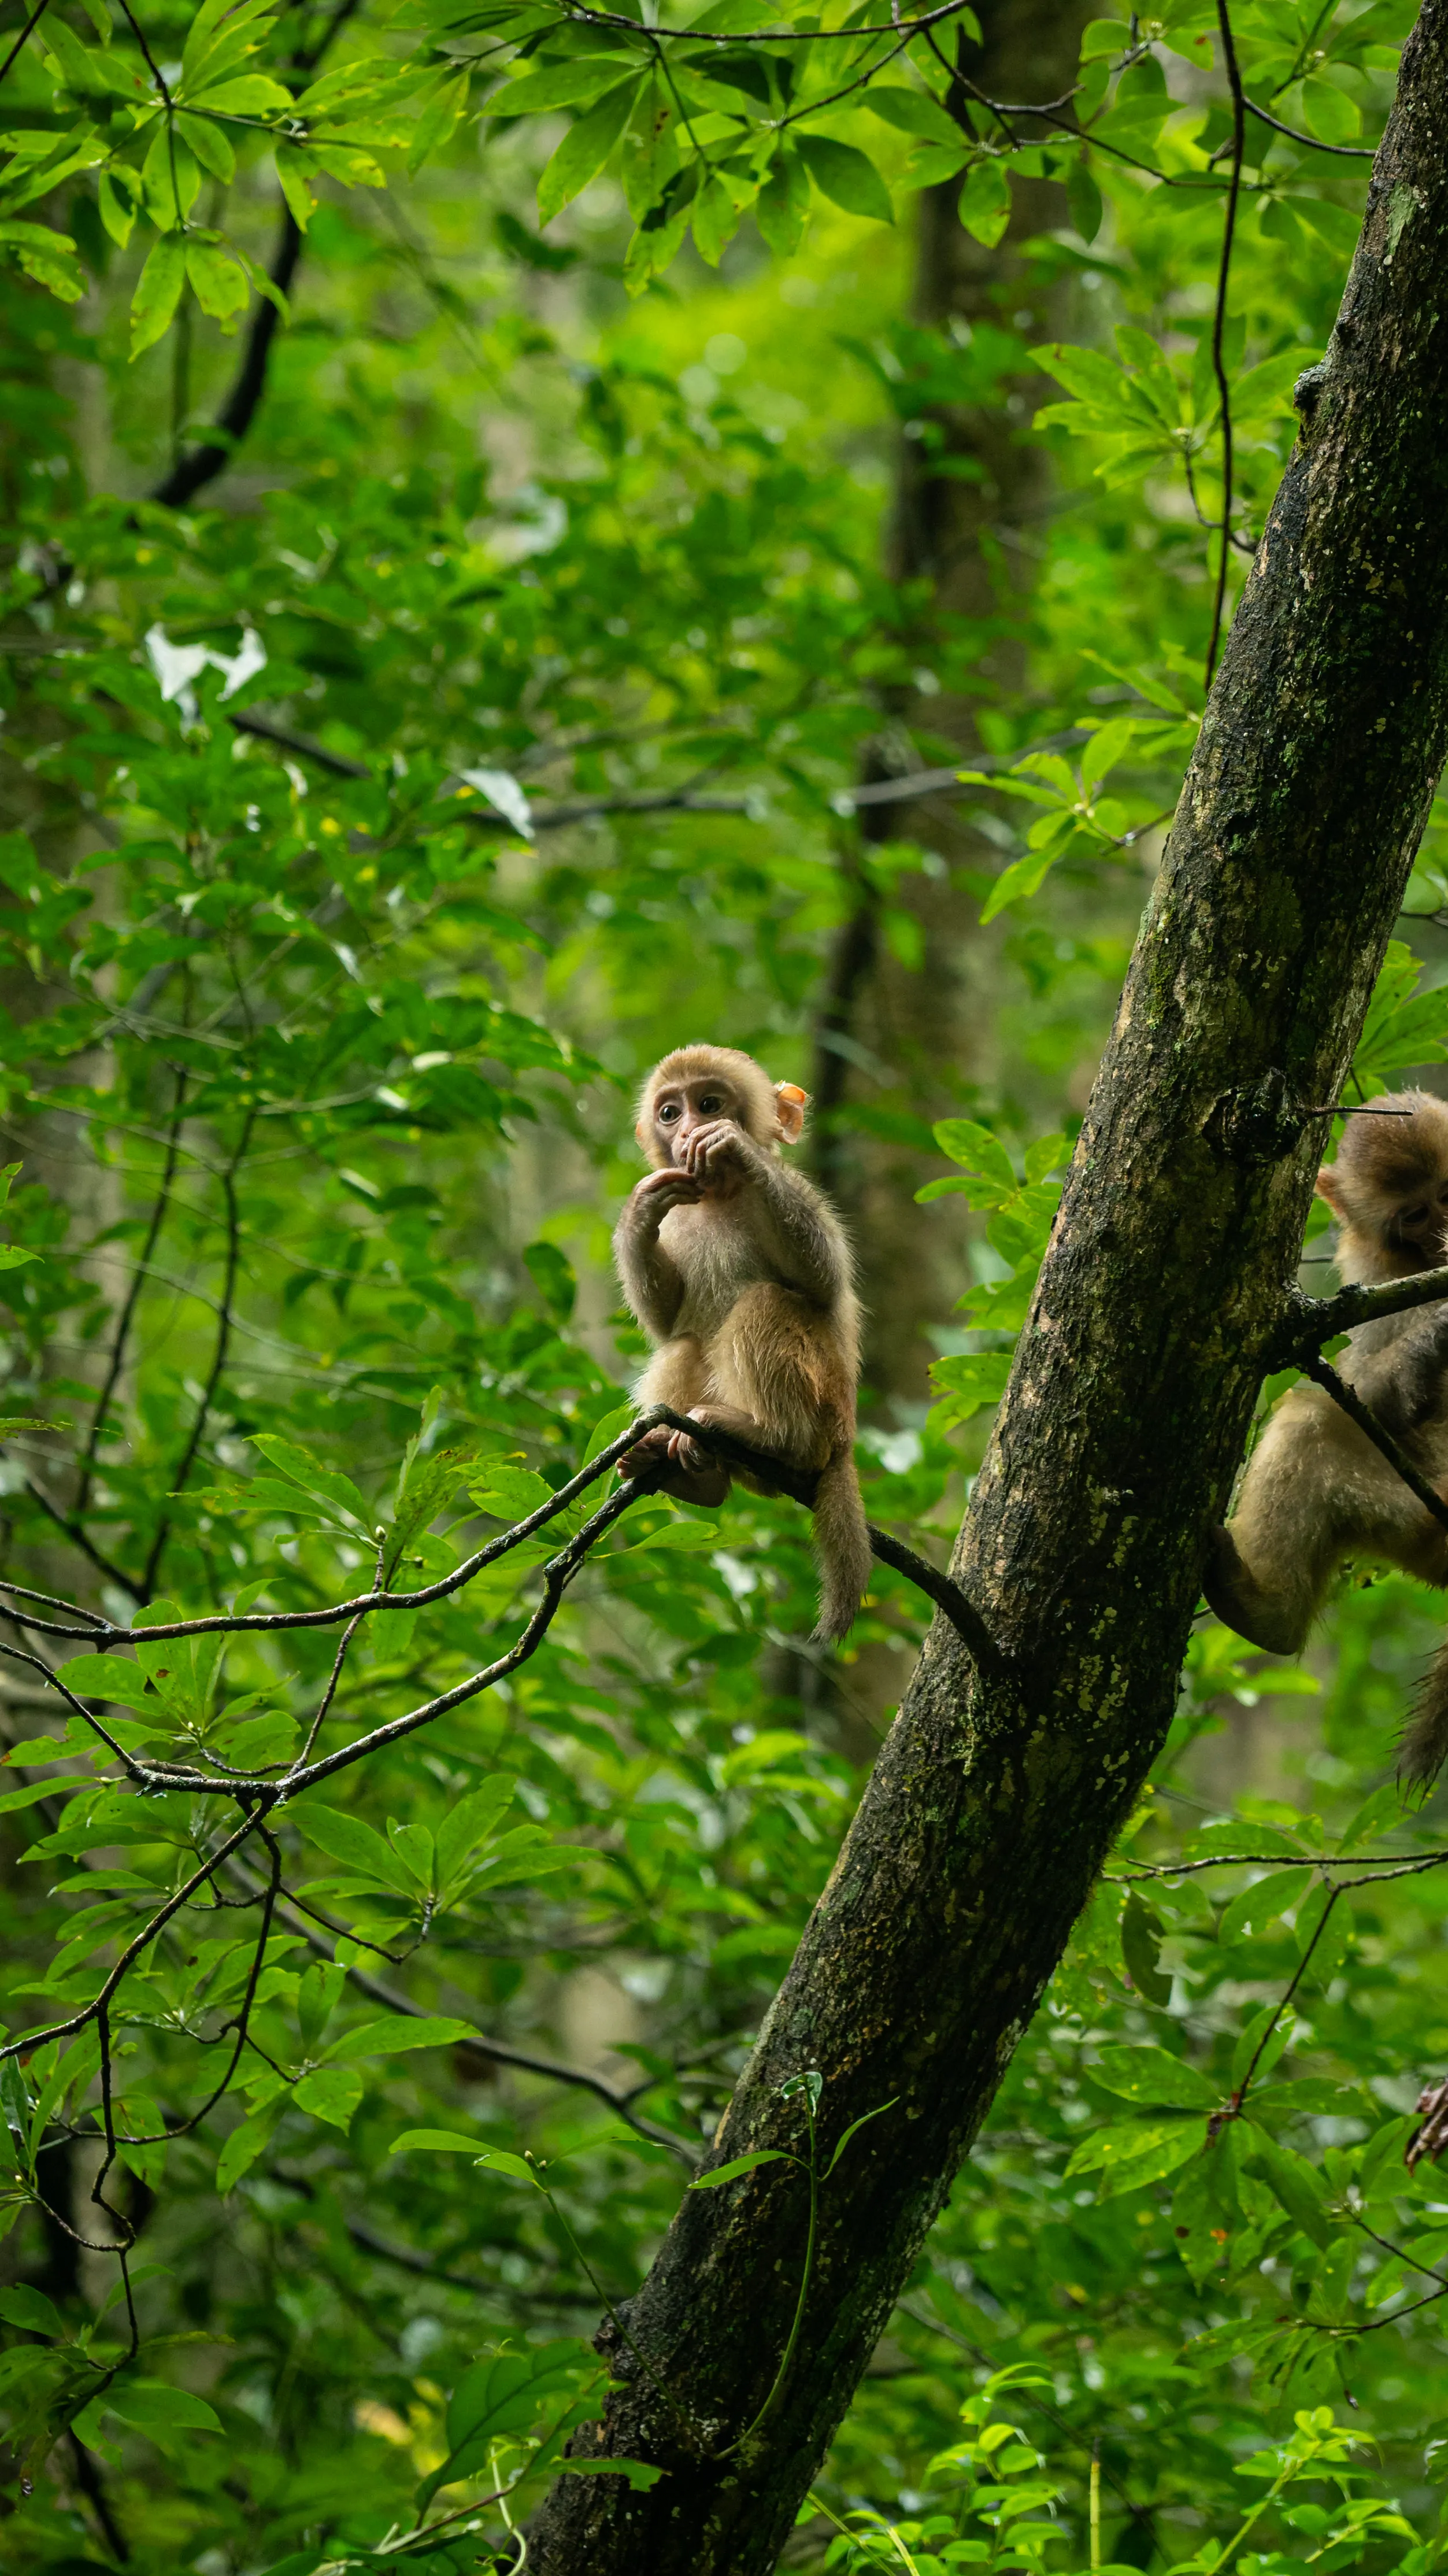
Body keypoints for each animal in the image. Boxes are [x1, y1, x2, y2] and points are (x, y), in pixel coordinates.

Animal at [612, 1043, 872, 1642]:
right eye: (670, 1113)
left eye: (709, 1104)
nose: (690, 1130)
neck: (717, 1197)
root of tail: (845, 1440)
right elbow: (664, 1323)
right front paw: (640, 1209)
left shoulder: (799, 1189)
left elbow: (823, 1281)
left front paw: (734, 1145)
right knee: (685, 1342)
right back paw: (696, 1474)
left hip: (825, 1400)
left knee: (766, 1302)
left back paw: (775, 1438)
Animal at [1204, 1088, 1448, 1784]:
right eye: (1414, 1215)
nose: (1443, 1235)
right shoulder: (1372, 1271)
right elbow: (1376, 1395)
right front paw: (1435, 1332)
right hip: (1415, 1519)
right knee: (1309, 1423)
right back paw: (1268, 1615)